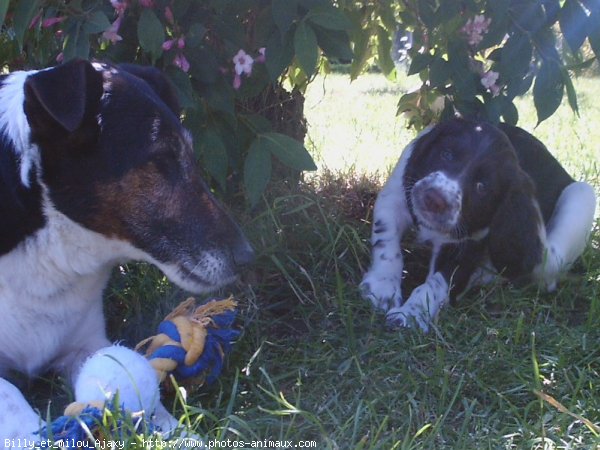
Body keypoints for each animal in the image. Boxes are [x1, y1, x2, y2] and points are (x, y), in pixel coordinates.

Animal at [358, 118, 596, 330]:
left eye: (482, 186)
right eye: (446, 154)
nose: (434, 199)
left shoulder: (471, 245)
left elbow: (437, 283)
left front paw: (410, 315)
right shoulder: (395, 196)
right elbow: (387, 244)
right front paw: (382, 287)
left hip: (581, 197)